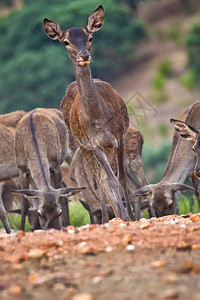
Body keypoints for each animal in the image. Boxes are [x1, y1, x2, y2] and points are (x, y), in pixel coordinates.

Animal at [44, 4, 134, 220]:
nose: (84, 55)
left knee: (104, 177)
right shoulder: (94, 143)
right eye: (66, 42)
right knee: (98, 178)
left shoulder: (120, 137)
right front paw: (124, 217)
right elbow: (109, 180)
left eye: (90, 37)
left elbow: (122, 178)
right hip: (82, 145)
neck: (99, 120)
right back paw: (109, 217)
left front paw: (132, 216)